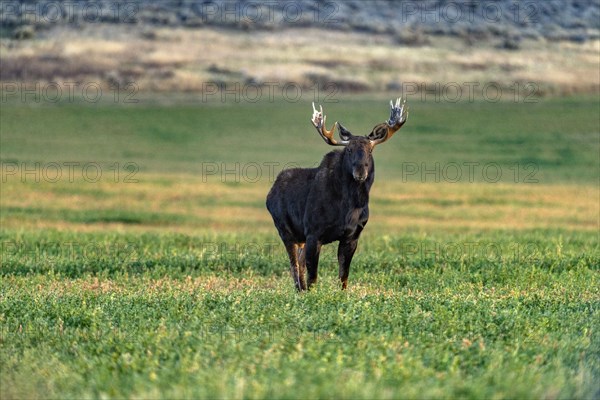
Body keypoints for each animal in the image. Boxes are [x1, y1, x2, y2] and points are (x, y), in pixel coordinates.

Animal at [266, 97, 408, 290]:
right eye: (349, 150)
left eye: (370, 150)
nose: (360, 172)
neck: (351, 206)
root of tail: (270, 194)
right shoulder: (313, 233)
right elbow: (313, 277)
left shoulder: (352, 236)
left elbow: (343, 276)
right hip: (285, 231)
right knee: (294, 266)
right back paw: (299, 290)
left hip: (299, 237)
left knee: (299, 264)